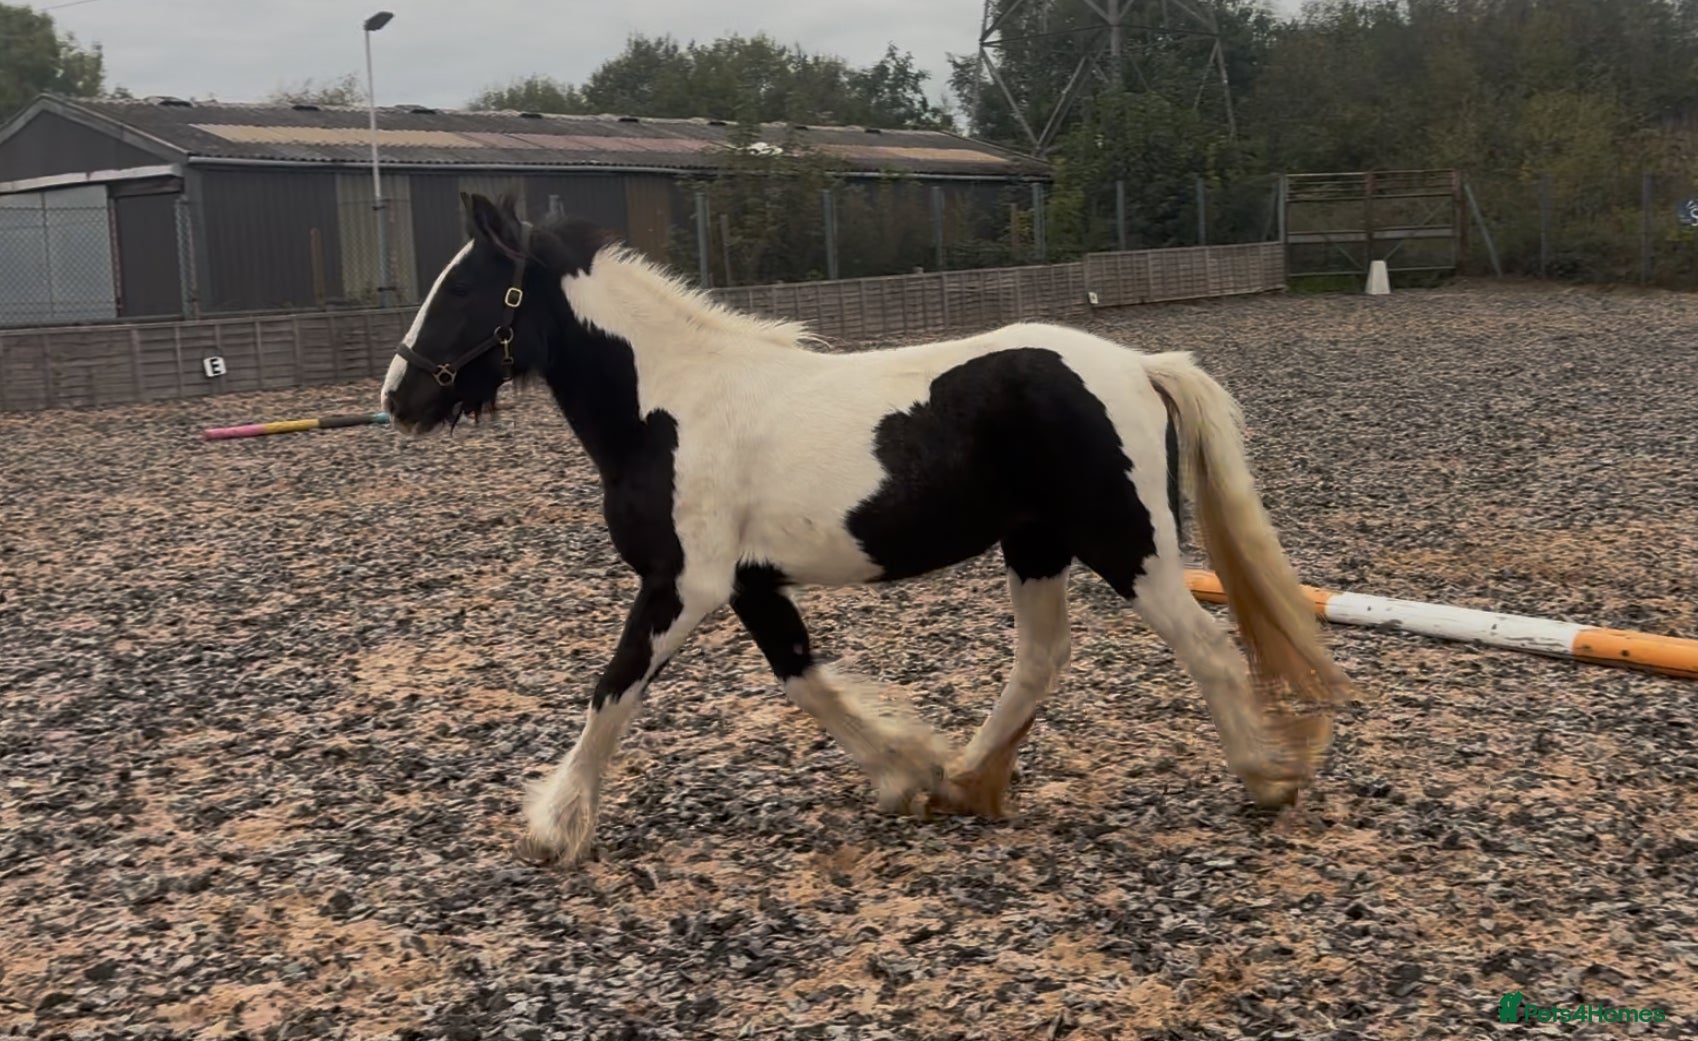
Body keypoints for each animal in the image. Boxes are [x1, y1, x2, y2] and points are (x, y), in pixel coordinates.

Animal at [380, 191, 1353, 867]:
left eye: (466, 287)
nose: (398, 397)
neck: (670, 405)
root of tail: (1142, 365)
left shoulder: (682, 584)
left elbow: (613, 688)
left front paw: (552, 827)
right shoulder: (749, 584)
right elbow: (804, 680)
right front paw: (907, 772)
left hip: (1129, 545)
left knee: (1209, 650)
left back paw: (1267, 779)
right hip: (1037, 546)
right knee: (1040, 659)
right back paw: (968, 781)